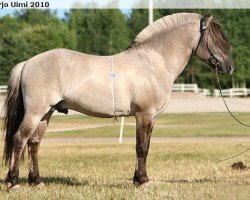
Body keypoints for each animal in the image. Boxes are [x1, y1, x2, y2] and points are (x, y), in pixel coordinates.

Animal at [1, 12, 233, 191]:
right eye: (216, 40)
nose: (229, 67)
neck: (152, 62)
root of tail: (27, 63)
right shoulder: (144, 115)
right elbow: (141, 148)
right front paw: (143, 181)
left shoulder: (151, 118)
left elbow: (145, 146)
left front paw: (139, 179)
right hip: (35, 112)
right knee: (19, 139)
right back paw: (14, 183)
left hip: (46, 113)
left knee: (33, 144)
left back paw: (36, 182)